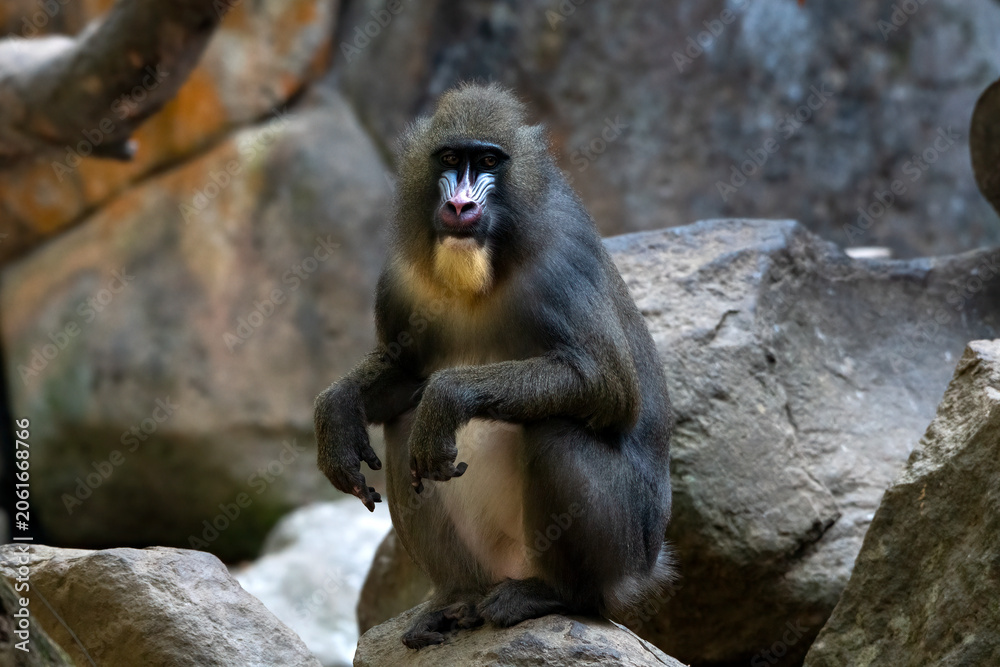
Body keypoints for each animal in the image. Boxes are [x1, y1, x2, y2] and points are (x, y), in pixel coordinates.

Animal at [314, 83, 673, 649]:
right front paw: (336, 412)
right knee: (404, 423)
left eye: (487, 161)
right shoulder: (399, 281)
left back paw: (553, 595)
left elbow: (606, 385)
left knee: (556, 429)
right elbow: (404, 376)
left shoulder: (563, 266)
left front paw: (448, 397)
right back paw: (454, 600)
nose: (460, 203)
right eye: (449, 159)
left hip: (619, 550)